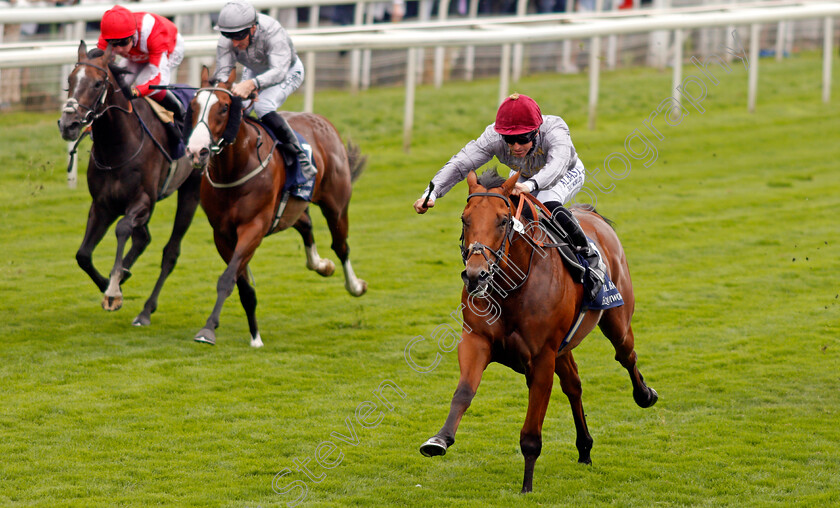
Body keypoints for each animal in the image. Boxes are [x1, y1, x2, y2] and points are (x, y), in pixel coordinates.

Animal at [57, 40, 202, 326]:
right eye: (70, 80)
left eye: (97, 84)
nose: (68, 124)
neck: (117, 147)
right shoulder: (101, 205)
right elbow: (83, 255)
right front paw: (109, 282)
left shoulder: (142, 201)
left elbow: (123, 228)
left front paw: (113, 291)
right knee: (144, 238)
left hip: (191, 189)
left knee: (171, 250)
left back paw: (145, 309)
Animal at [184, 65, 368, 348]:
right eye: (193, 106)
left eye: (224, 107)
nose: (196, 151)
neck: (234, 168)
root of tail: (323, 121)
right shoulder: (222, 235)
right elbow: (242, 285)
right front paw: (255, 335)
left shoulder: (254, 228)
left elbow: (227, 278)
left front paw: (209, 330)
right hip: (291, 208)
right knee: (306, 225)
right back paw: (321, 265)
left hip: (336, 205)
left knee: (341, 245)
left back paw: (355, 286)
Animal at [420, 170, 656, 492]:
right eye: (464, 219)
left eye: (503, 220)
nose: (475, 275)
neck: (510, 291)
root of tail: (594, 216)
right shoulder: (476, 341)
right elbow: (464, 392)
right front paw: (439, 439)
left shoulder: (542, 357)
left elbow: (532, 430)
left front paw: (527, 486)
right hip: (563, 348)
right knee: (574, 385)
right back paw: (584, 448)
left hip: (616, 320)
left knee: (626, 355)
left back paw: (645, 395)